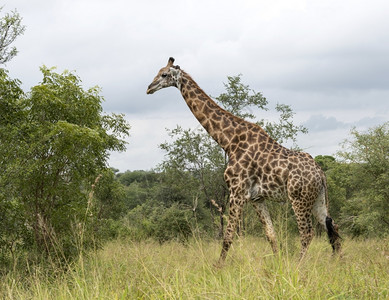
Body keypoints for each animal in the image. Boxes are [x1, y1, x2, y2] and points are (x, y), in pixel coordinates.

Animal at [146, 57, 340, 266]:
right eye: (158, 72)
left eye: (164, 74)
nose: (149, 88)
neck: (229, 141)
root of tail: (321, 174)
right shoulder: (256, 198)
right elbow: (270, 234)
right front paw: (278, 264)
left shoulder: (237, 192)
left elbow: (228, 235)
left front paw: (218, 268)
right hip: (318, 199)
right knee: (333, 227)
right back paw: (339, 263)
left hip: (299, 199)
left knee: (307, 233)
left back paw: (297, 266)